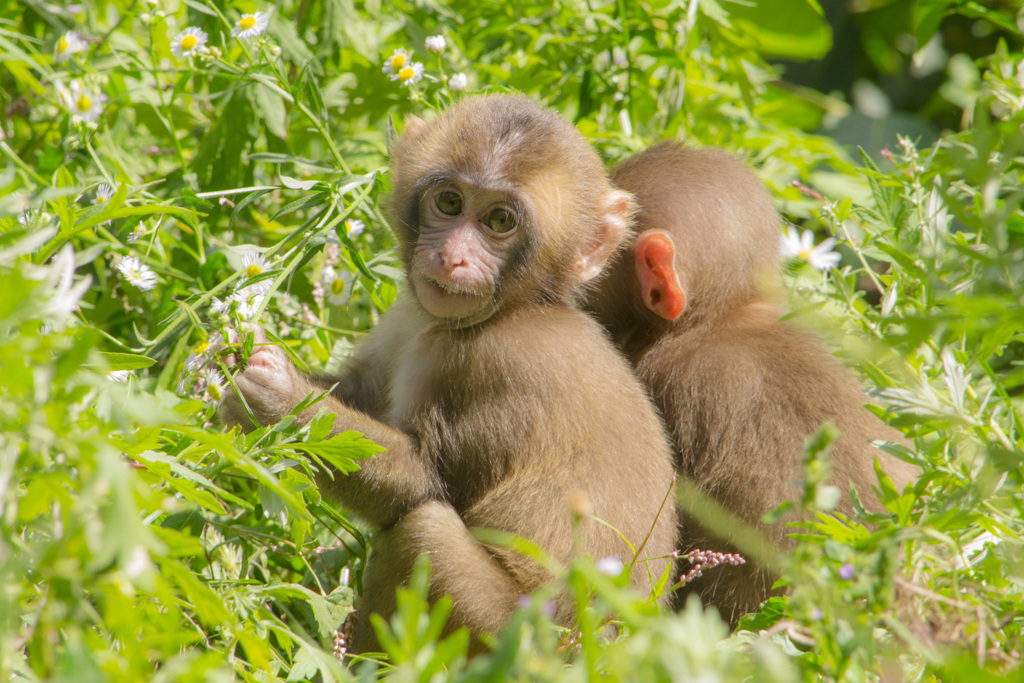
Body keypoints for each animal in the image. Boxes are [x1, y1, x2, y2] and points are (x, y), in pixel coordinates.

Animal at [220, 94, 679, 651]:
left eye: (500, 220)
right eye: (450, 202)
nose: (452, 256)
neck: (515, 309)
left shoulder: (496, 365)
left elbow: (422, 482)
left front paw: (274, 401)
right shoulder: (408, 315)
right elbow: (361, 391)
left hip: (501, 634)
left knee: (422, 530)